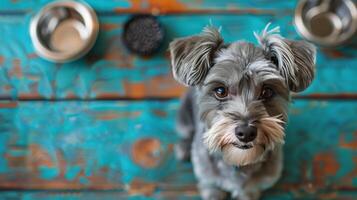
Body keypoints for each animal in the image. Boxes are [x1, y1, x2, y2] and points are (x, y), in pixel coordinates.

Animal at [168, 23, 316, 200]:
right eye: (220, 91)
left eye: (267, 91)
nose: (246, 133)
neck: (238, 162)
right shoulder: (208, 179)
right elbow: (211, 187)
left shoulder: (255, 186)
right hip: (184, 116)